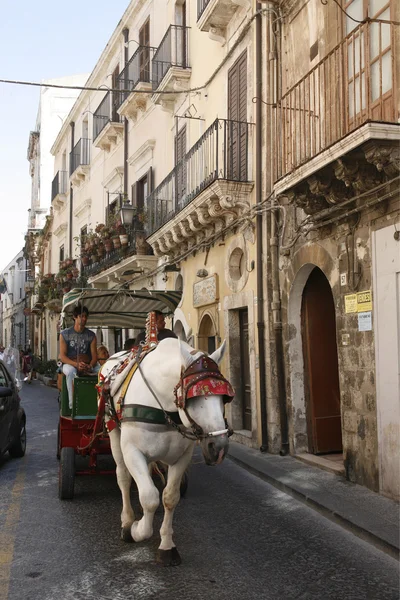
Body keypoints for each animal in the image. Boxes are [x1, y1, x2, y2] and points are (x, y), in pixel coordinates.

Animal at [99, 340, 234, 564]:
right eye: (193, 398)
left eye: (224, 398)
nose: (219, 448)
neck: (162, 405)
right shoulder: (132, 451)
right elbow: (149, 497)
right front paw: (136, 529)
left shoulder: (182, 457)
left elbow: (169, 497)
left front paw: (167, 546)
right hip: (113, 431)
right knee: (123, 477)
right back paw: (127, 521)